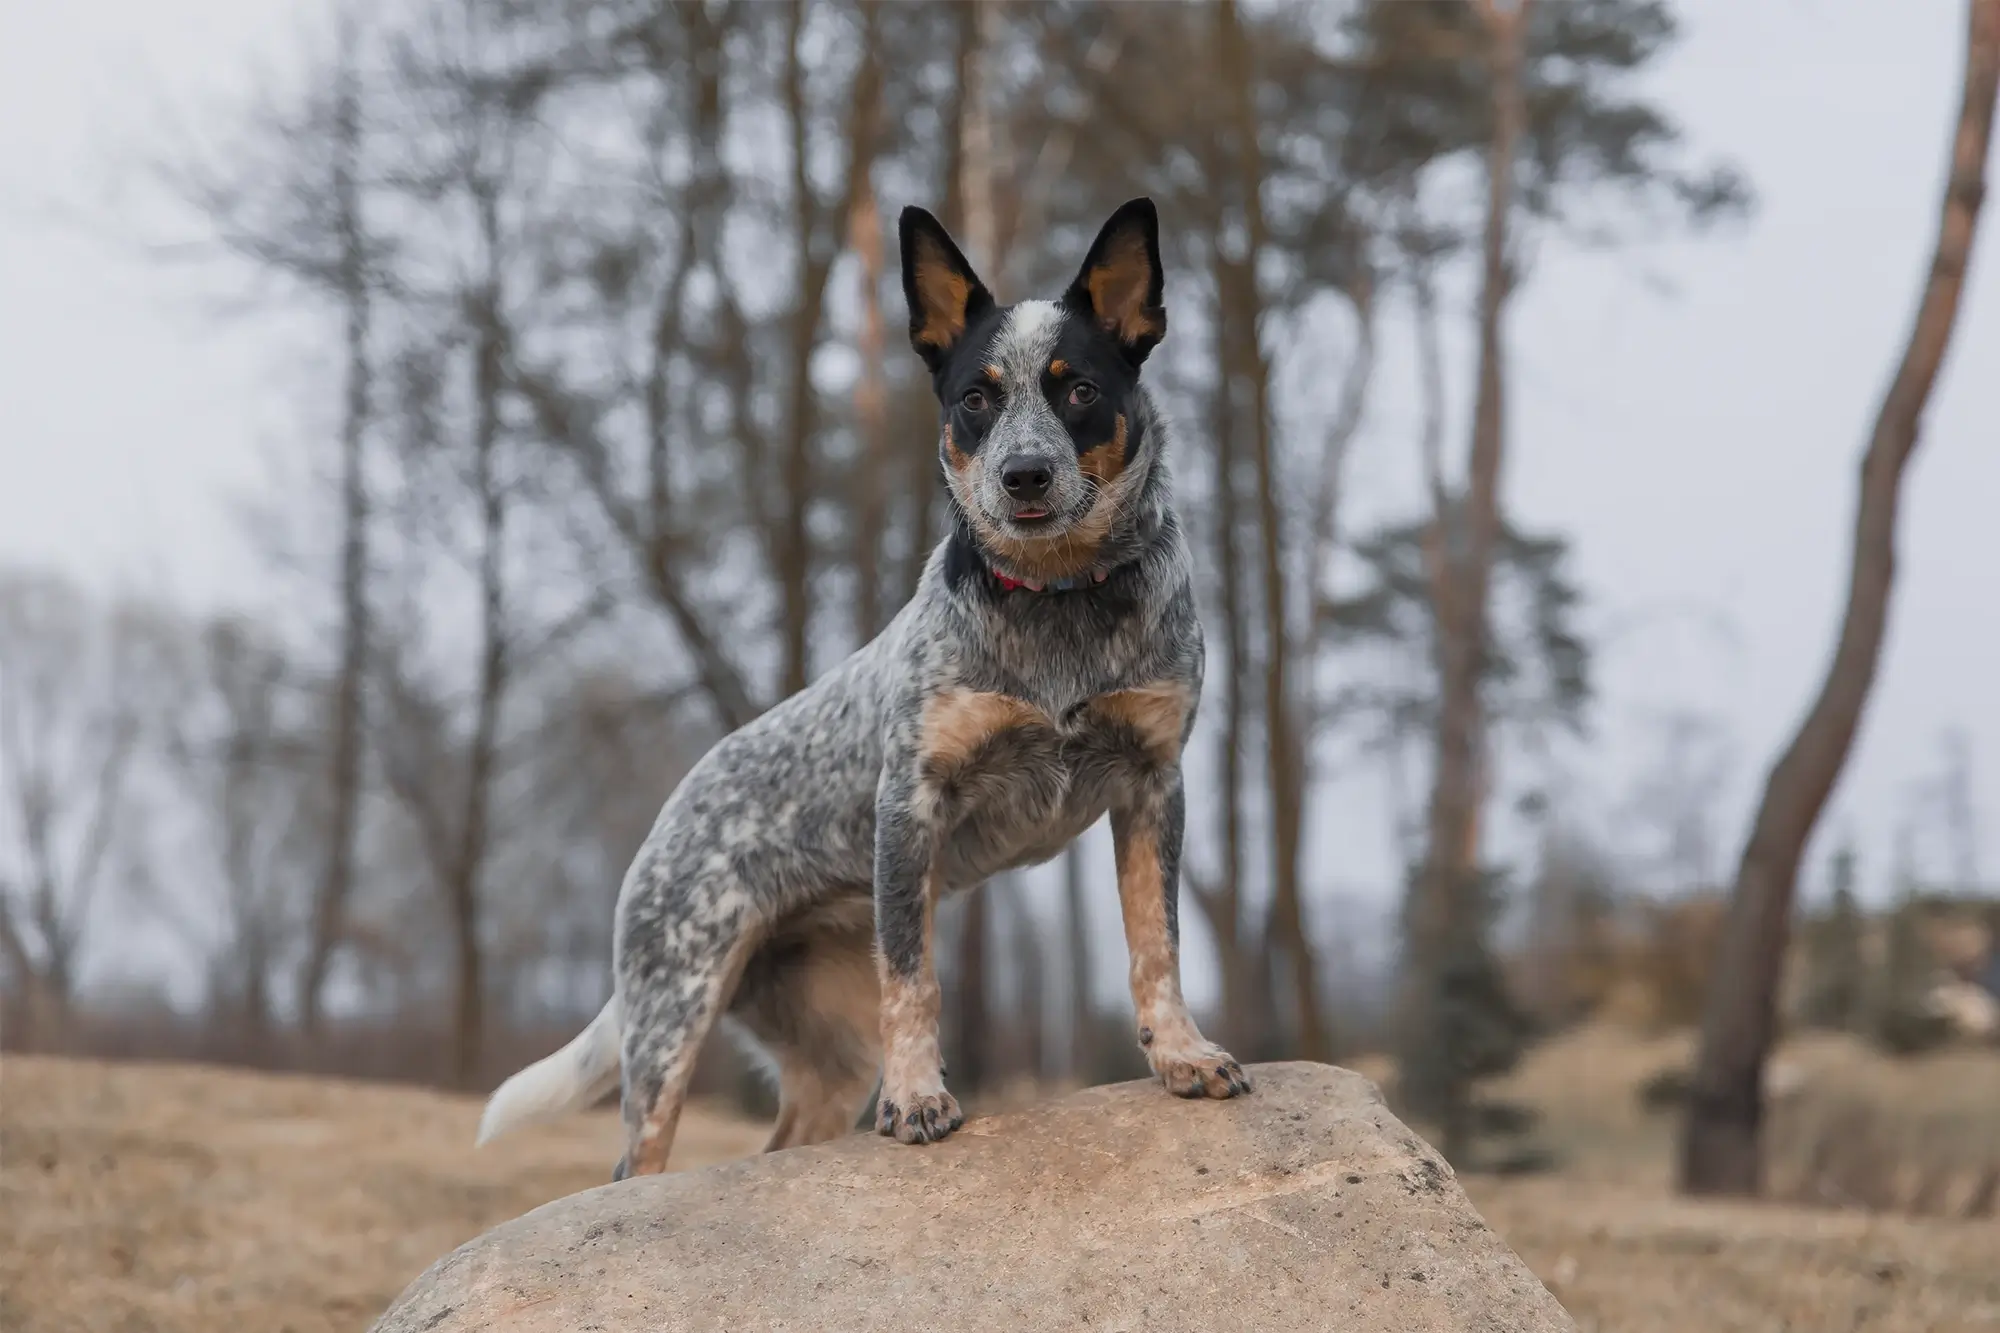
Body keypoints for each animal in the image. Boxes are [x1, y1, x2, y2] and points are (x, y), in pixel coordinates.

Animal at [474, 197, 1240, 1176]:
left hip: (826, 1051)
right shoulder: (912, 801)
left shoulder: (1152, 783)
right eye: (975, 398)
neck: (1056, 598)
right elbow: (916, 980)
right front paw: (917, 1097)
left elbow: (1157, 943)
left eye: (1079, 390)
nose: (1023, 474)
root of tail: (666, 821)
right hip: (672, 1020)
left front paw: (1182, 1052)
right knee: (635, 1163)